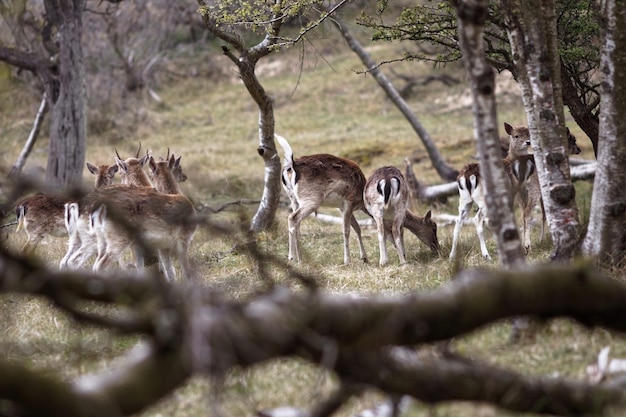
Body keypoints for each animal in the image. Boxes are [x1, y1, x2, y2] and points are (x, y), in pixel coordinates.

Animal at [272, 134, 366, 264]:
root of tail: (292, 165)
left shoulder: (341, 207)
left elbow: (357, 227)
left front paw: (365, 258)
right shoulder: (348, 202)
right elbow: (346, 230)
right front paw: (347, 261)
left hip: (293, 199)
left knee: (296, 223)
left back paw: (296, 258)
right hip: (311, 200)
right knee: (293, 218)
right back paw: (296, 258)